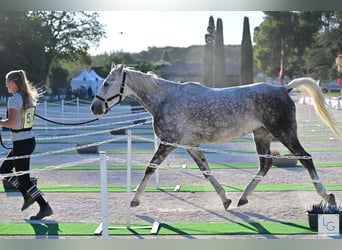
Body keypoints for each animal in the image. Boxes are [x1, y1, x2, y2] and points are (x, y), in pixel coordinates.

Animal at [90, 63, 340, 210]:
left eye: (107, 83)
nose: (95, 108)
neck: (165, 98)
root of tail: (283, 88)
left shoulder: (169, 143)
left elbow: (150, 168)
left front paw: (134, 199)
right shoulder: (190, 145)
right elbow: (206, 171)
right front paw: (225, 199)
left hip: (285, 133)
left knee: (306, 158)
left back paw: (327, 196)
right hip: (262, 135)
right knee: (266, 165)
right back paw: (243, 198)